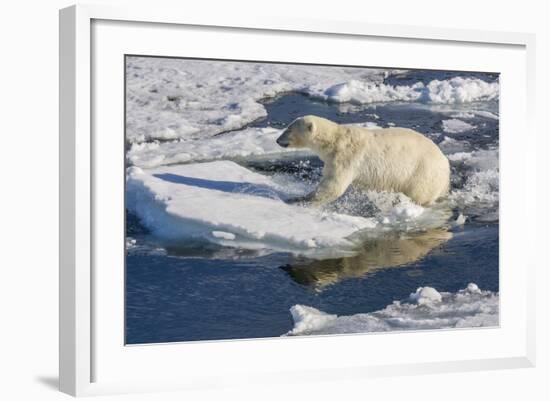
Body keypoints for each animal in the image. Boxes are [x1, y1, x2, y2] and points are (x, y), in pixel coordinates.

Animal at [278, 114, 450, 205]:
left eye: (288, 129)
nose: (278, 140)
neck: (335, 139)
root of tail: (445, 163)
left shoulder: (346, 157)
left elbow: (333, 186)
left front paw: (298, 199)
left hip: (422, 172)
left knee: (419, 194)